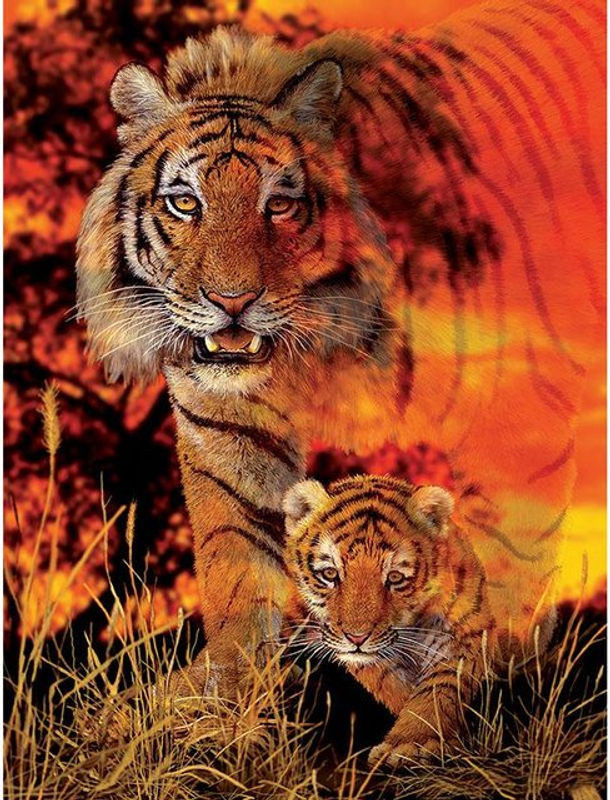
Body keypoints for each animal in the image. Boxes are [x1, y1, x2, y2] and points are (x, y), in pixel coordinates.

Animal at [75, 0, 604, 694]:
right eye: (186, 203)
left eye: (280, 206)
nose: (232, 301)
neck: (314, 352)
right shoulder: (225, 425)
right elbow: (236, 566)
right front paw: (217, 699)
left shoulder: (521, 406)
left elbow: (508, 571)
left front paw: (483, 689)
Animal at [282, 474, 495, 765]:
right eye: (330, 574)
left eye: (394, 577)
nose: (356, 638)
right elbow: (386, 679)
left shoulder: (466, 637)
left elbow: (440, 688)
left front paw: (412, 744)